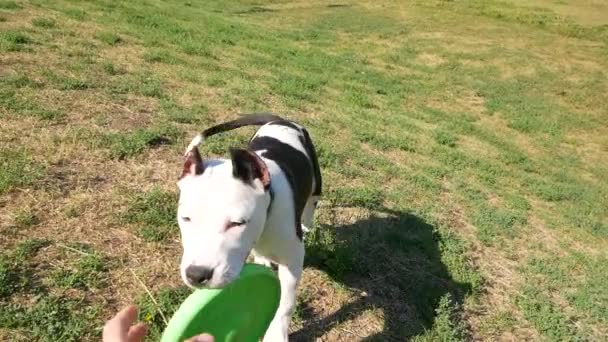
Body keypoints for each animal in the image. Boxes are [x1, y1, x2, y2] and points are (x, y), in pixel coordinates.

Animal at [177, 113, 324, 340]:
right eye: (186, 219)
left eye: (237, 223)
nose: (196, 275)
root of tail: (281, 119)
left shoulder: (293, 257)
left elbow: (286, 301)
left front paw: (277, 333)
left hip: (316, 178)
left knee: (313, 199)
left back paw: (307, 222)